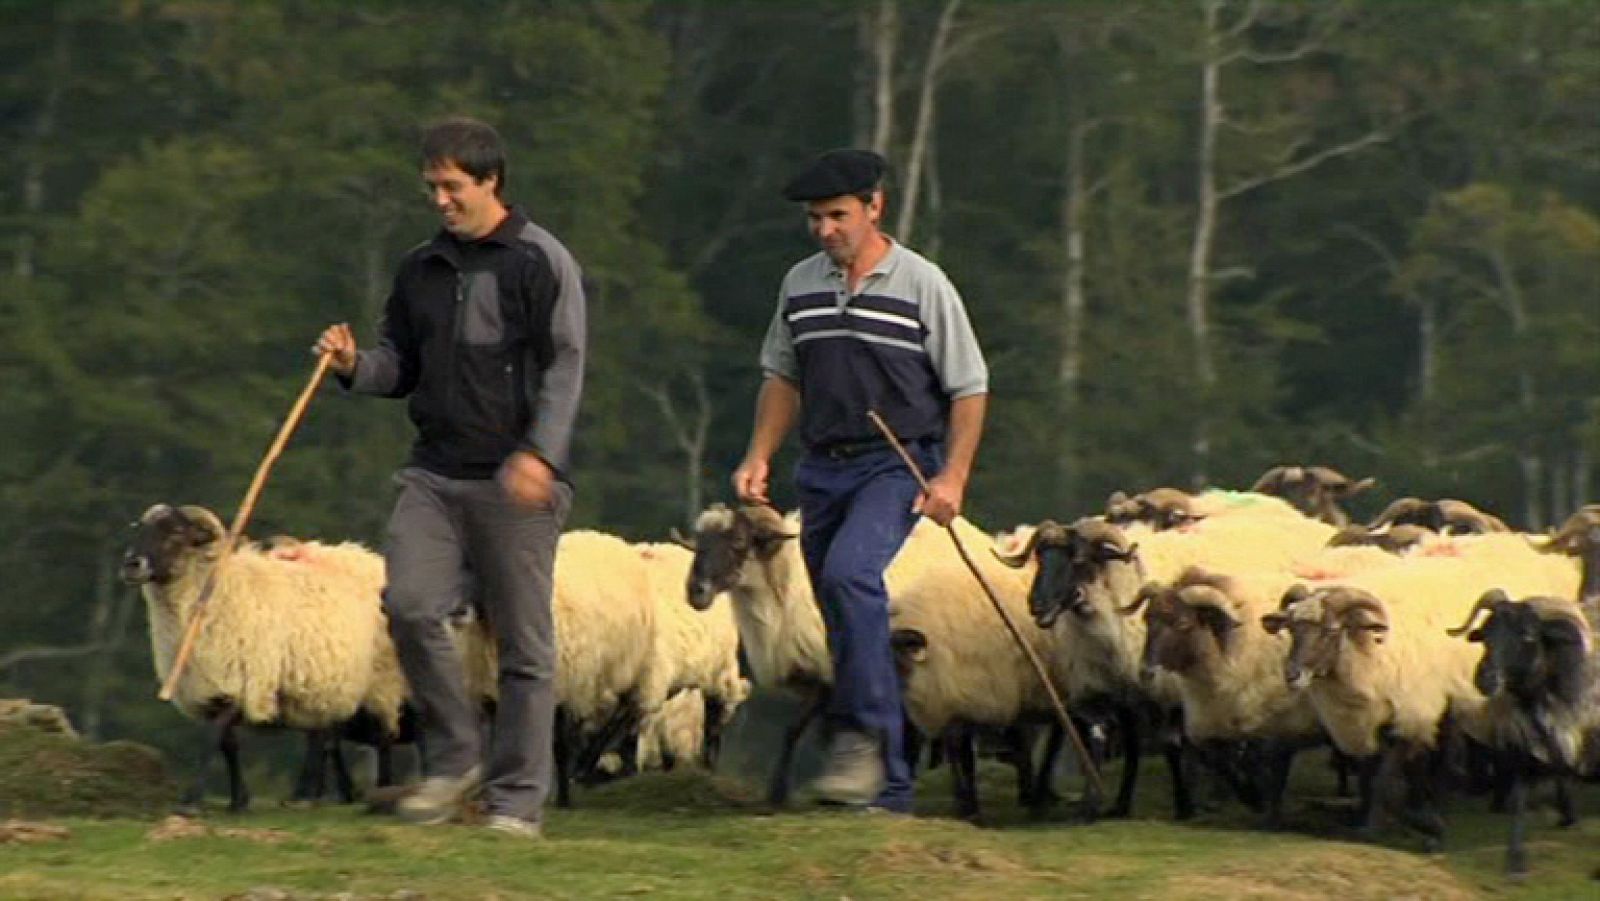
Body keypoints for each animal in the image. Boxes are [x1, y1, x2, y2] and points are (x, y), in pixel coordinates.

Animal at [120, 505, 390, 812]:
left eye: (176, 532)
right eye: (140, 527)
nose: (131, 564)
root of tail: (368, 557)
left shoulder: (236, 683)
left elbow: (212, 739)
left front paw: (192, 801)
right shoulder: (209, 688)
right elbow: (228, 745)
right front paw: (238, 801)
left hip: (381, 682)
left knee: (377, 738)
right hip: (324, 684)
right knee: (323, 736)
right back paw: (320, 794)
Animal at [1446, 588, 1593, 876]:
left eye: (1528, 636)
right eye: (1486, 633)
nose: (1485, 678)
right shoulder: (1527, 752)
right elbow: (1519, 803)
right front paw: (1515, 863)